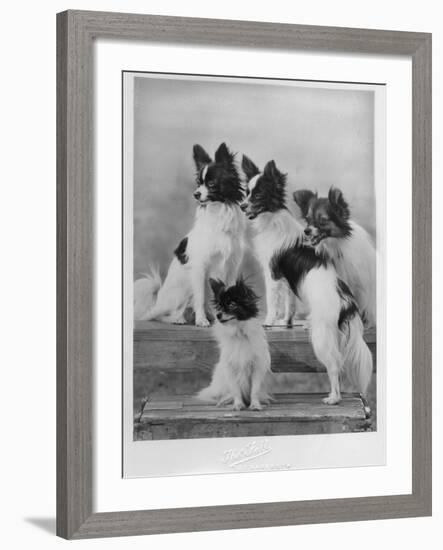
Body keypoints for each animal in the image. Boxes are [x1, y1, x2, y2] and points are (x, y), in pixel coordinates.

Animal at [135, 144, 246, 330]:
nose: (195, 194)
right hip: (183, 285)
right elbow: (200, 297)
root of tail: (158, 301)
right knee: (162, 314)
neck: (218, 213)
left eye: (211, 183)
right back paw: (179, 319)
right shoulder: (200, 268)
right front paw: (201, 321)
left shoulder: (231, 266)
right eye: (198, 184)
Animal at [199, 278, 274, 412]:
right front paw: (238, 404)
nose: (218, 315)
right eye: (219, 306)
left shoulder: (257, 368)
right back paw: (225, 400)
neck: (239, 333)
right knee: (226, 393)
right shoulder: (230, 369)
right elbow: (235, 390)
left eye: (231, 305)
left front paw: (255, 405)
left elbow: (254, 390)